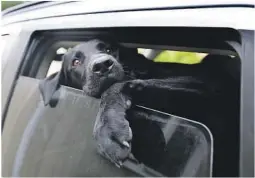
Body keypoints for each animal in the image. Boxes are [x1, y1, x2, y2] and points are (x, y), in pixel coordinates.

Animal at [39, 38, 239, 176]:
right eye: (76, 62)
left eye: (109, 49)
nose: (103, 64)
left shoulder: (207, 84)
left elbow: (122, 85)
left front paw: (109, 127)